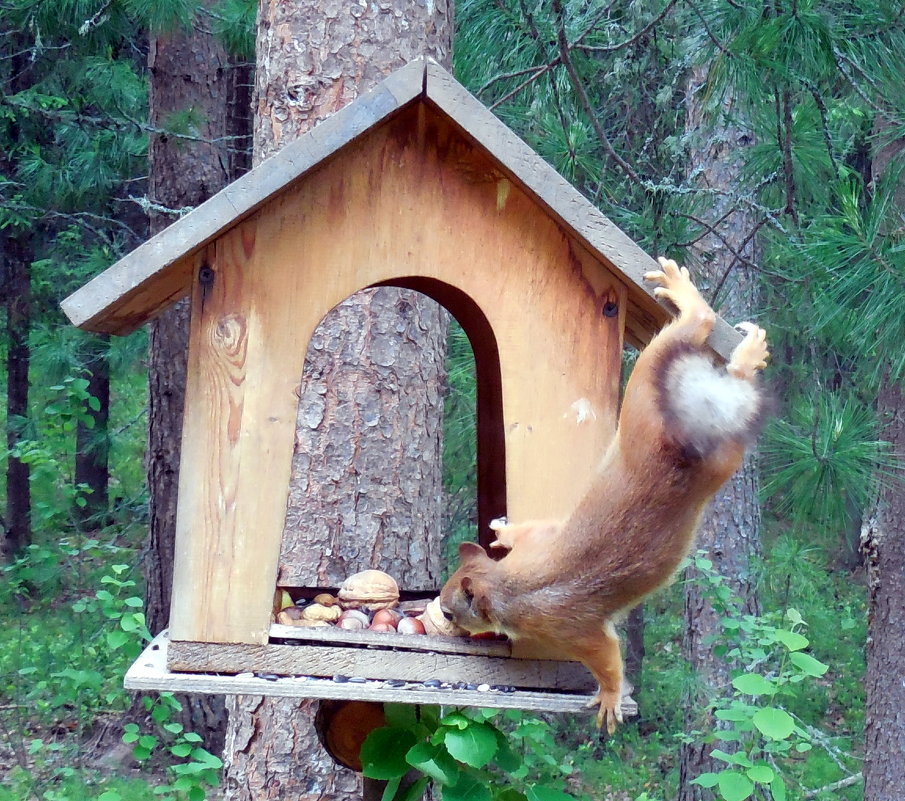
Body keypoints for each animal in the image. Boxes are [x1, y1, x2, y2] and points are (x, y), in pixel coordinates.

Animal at [438, 258, 768, 732]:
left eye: (451, 611)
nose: (446, 627)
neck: (509, 585)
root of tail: (687, 431)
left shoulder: (570, 630)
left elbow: (607, 659)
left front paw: (610, 698)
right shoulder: (539, 542)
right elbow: (533, 531)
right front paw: (501, 532)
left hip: (648, 391)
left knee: (697, 326)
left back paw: (686, 297)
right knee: (732, 380)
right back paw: (748, 354)